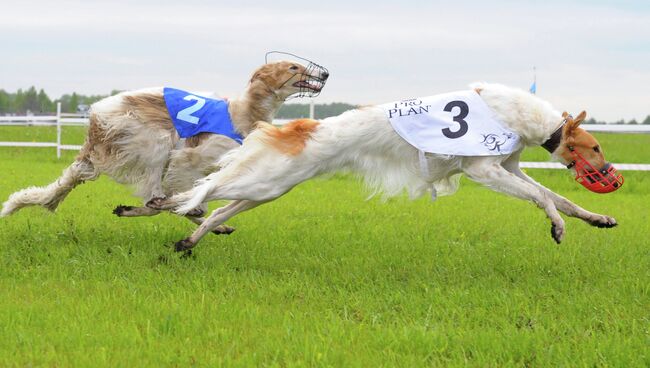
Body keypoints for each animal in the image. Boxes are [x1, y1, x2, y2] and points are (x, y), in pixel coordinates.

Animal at [1, 58, 330, 236]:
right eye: (294, 67)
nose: (325, 73)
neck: (243, 112)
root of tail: (94, 124)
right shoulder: (187, 160)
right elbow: (178, 200)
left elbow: (189, 202)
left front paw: (211, 221)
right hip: (152, 144)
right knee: (152, 201)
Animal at [149, 82, 620, 252]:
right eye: (595, 146)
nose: (612, 177)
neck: (519, 114)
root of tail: (304, 125)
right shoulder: (484, 171)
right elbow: (545, 197)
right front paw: (558, 227)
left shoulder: (511, 169)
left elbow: (556, 196)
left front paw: (598, 217)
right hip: (266, 181)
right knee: (205, 191)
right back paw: (166, 204)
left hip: (269, 189)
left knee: (218, 208)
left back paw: (189, 238)